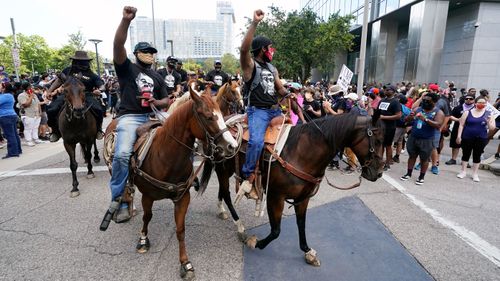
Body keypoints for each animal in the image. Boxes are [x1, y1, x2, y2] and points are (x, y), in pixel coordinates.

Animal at [104, 82, 238, 278]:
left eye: (221, 114)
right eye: (208, 117)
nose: (232, 146)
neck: (166, 156)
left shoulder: (182, 198)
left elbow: (180, 230)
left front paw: (185, 263)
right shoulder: (148, 196)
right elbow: (147, 217)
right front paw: (143, 240)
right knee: (123, 187)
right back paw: (124, 208)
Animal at [201, 109, 384, 264]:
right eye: (378, 140)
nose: (379, 173)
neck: (301, 153)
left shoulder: (302, 199)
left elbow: (301, 223)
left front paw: (307, 251)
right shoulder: (275, 197)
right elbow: (276, 231)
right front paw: (254, 242)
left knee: (222, 191)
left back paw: (221, 211)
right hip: (222, 169)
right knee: (226, 194)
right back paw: (239, 226)